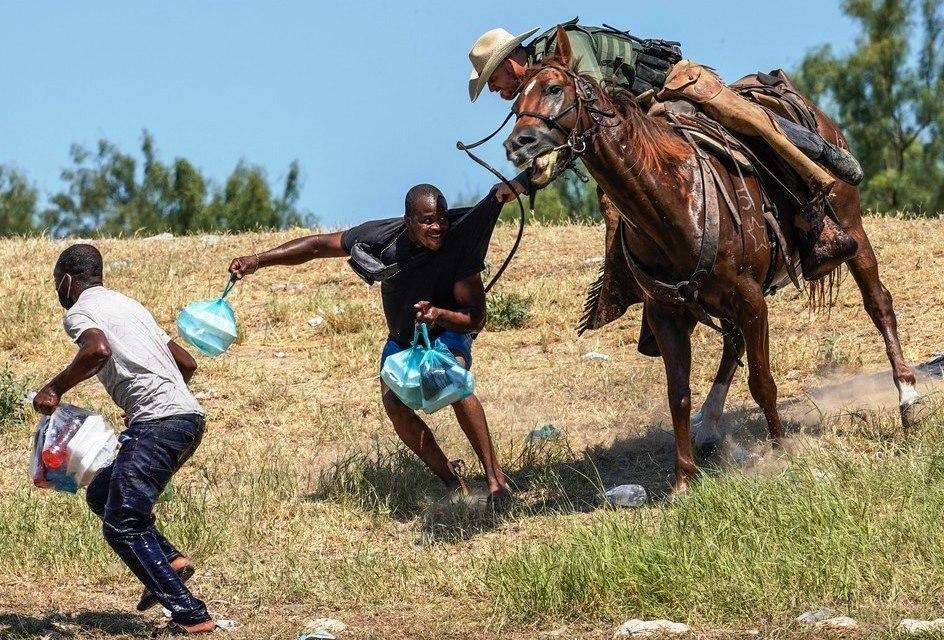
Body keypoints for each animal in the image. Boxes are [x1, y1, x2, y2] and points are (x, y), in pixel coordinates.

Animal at [506, 27, 920, 492]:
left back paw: (908, 397)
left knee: (878, 303)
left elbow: (762, 381)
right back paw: (709, 424)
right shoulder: (667, 313)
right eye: (514, 102)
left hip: (852, 230)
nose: (518, 144)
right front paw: (683, 479)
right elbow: (678, 394)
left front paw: (781, 452)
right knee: (732, 342)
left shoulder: (751, 300)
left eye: (554, 88)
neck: (672, 199)